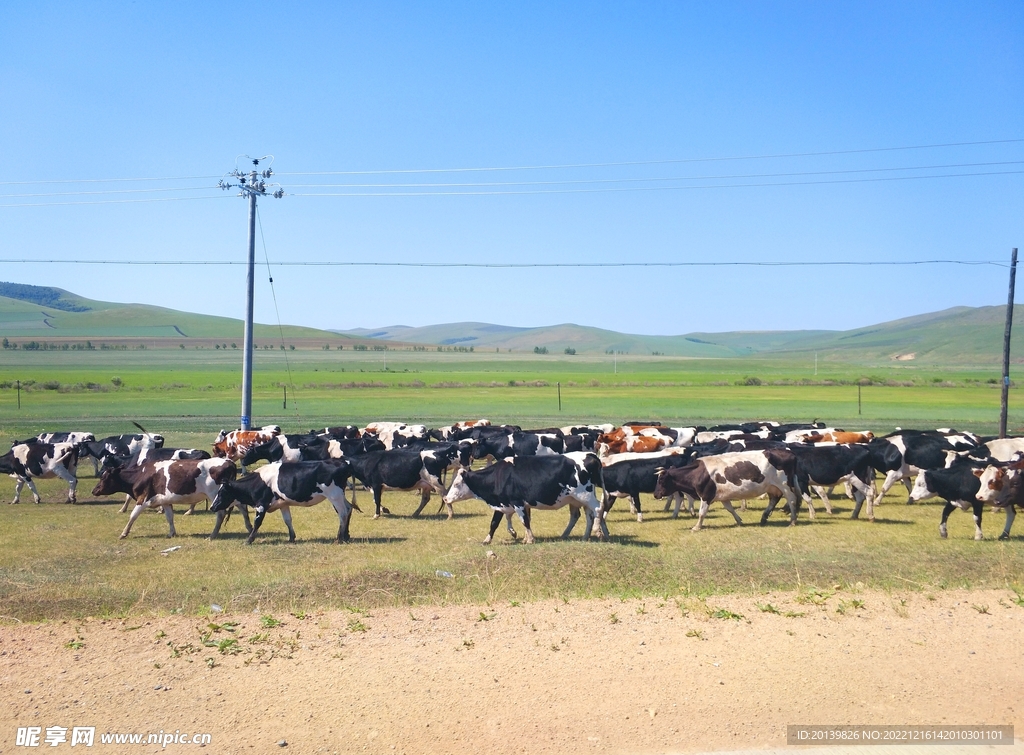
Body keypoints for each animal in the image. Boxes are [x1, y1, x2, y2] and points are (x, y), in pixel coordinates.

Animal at [209, 458, 354, 540]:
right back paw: (346, 536)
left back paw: (340, 537)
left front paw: (249, 540)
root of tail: (343, 462)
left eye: (221, 493)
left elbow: (257, 523)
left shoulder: (261, 505)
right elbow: (287, 520)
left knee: (342, 513)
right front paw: (292, 537)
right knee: (349, 508)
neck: (257, 482)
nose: (212, 507)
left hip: (334, 495)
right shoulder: (283, 504)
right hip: (340, 495)